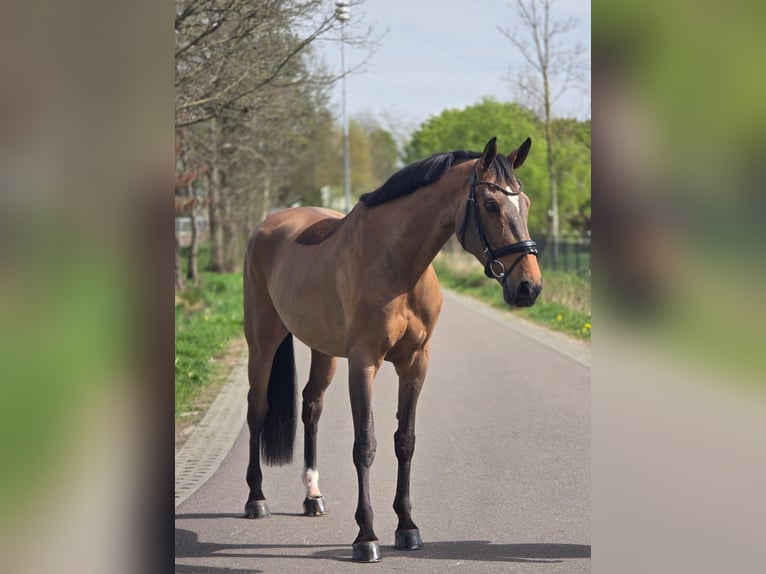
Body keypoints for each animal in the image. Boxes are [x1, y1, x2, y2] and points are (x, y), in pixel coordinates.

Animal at [242, 136, 543, 562]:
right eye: (490, 204)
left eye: (526, 203)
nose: (529, 287)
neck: (396, 263)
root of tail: (267, 226)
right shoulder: (364, 363)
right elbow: (365, 444)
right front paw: (366, 537)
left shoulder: (415, 363)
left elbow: (406, 440)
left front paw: (407, 527)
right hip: (262, 339)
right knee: (258, 407)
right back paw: (256, 499)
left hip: (323, 350)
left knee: (312, 406)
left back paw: (313, 496)